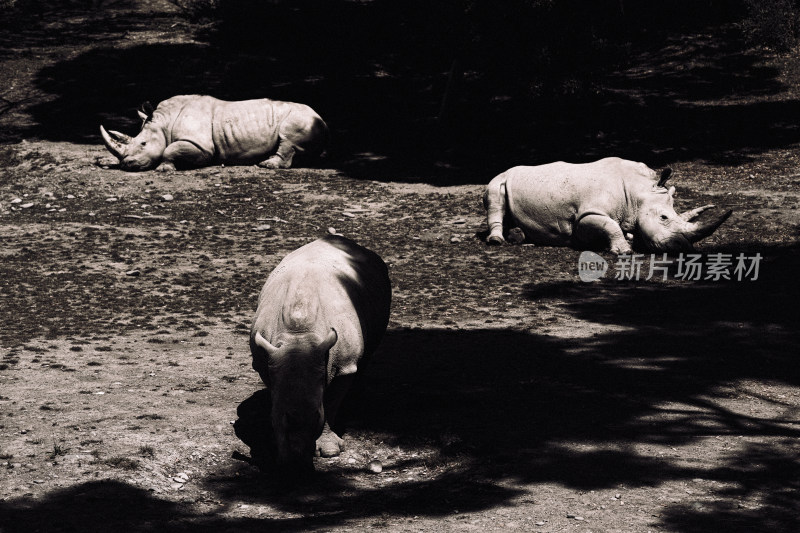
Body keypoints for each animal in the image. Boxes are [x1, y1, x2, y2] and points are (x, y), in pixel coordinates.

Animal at [100, 94, 328, 170]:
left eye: (143, 144)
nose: (127, 164)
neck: (165, 122)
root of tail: (324, 121)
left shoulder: (201, 146)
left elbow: (169, 149)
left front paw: (164, 169)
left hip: (303, 117)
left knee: (287, 138)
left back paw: (267, 165)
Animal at [247, 235, 390, 472]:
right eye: (273, 420)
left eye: (317, 417)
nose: (296, 468)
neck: (299, 335)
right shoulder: (265, 360)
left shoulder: (345, 366)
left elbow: (331, 402)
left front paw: (330, 451)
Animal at [482, 157, 732, 252]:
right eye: (664, 218)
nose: (684, 248)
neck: (637, 193)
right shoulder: (585, 215)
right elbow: (609, 225)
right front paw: (624, 250)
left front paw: (629, 240)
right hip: (499, 179)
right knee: (495, 198)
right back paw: (496, 240)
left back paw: (517, 235)